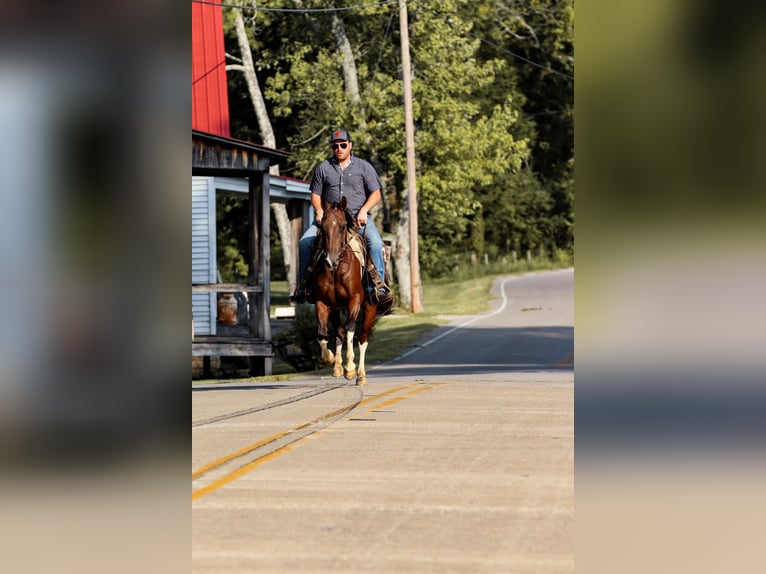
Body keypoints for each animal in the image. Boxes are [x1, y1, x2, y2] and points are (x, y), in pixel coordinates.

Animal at [312, 198, 378, 388]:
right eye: (322, 226)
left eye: (342, 226)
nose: (330, 260)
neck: (336, 270)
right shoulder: (322, 303)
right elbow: (322, 334)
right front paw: (330, 359)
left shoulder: (354, 300)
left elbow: (350, 329)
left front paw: (350, 368)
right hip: (335, 309)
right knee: (338, 333)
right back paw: (337, 367)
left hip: (370, 309)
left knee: (362, 339)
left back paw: (360, 375)